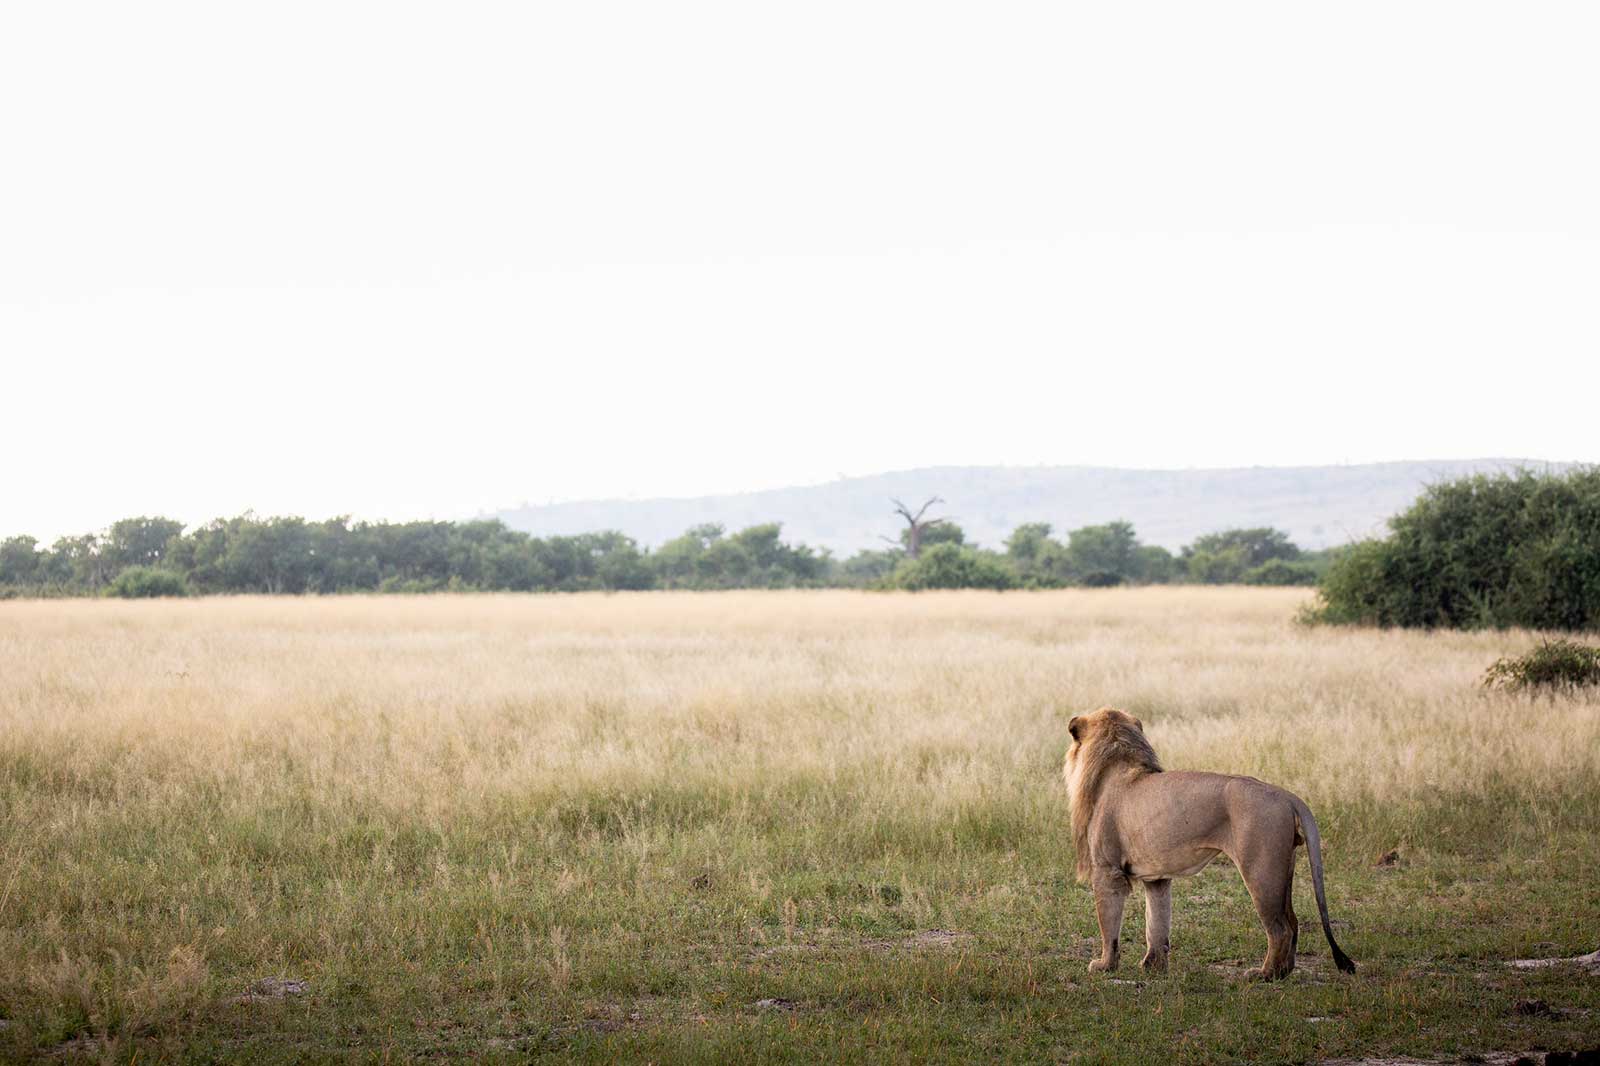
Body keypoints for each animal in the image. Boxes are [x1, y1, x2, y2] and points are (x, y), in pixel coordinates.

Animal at [1064, 706, 1355, 980]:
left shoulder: (1107, 870)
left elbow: (1108, 924)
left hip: (1261, 871)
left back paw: (1265, 975)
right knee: (1293, 922)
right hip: (1285, 869)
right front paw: (1153, 966)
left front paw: (1104, 965)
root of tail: (1286, 795)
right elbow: (1156, 922)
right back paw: (1283, 972)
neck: (1117, 763)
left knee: (1280, 928)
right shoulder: (1157, 877)